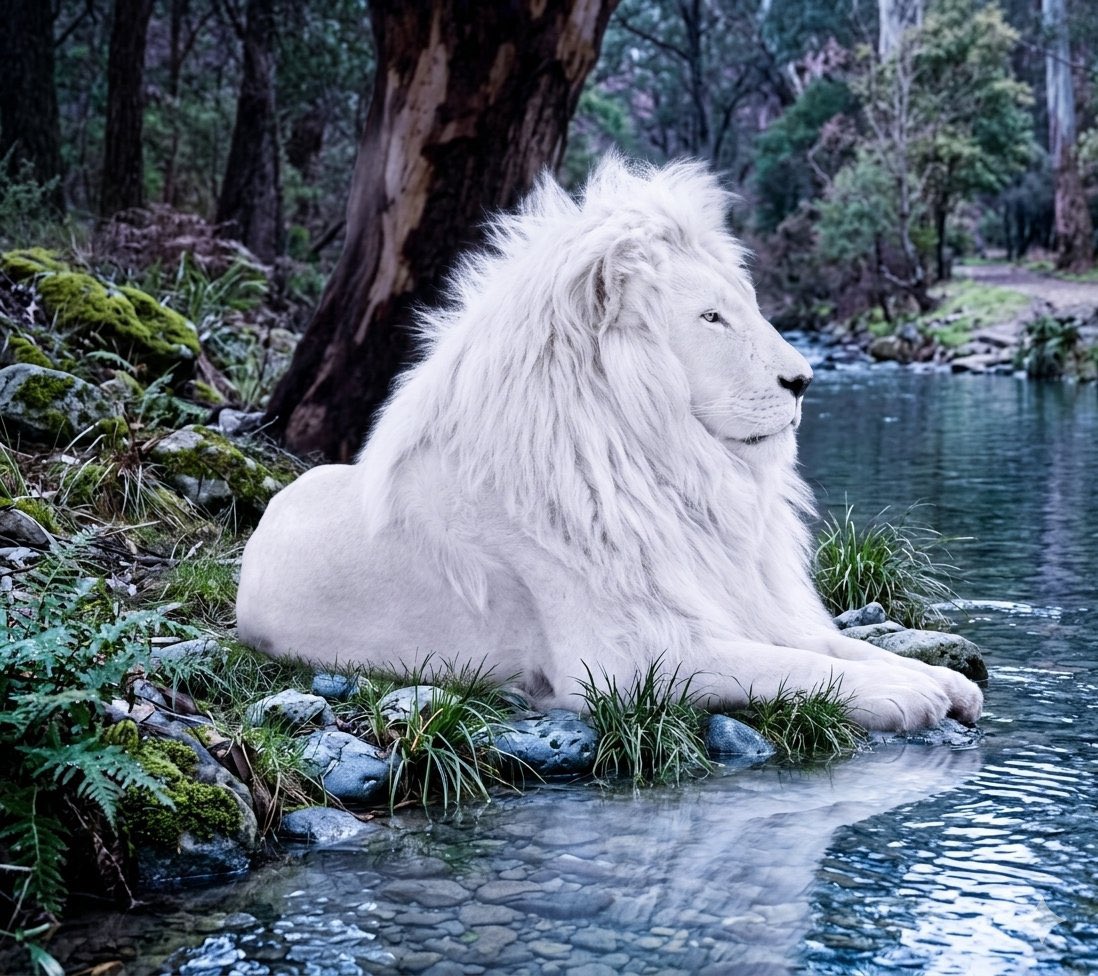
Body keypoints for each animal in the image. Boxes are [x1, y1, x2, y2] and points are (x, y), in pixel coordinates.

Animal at [237, 157, 982, 732]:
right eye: (711, 317)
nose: (803, 380)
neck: (673, 472)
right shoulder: (628, 664)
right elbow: (795, 666)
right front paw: (907, 692)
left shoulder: (734, 599)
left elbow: (834, 644)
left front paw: (944, 679)